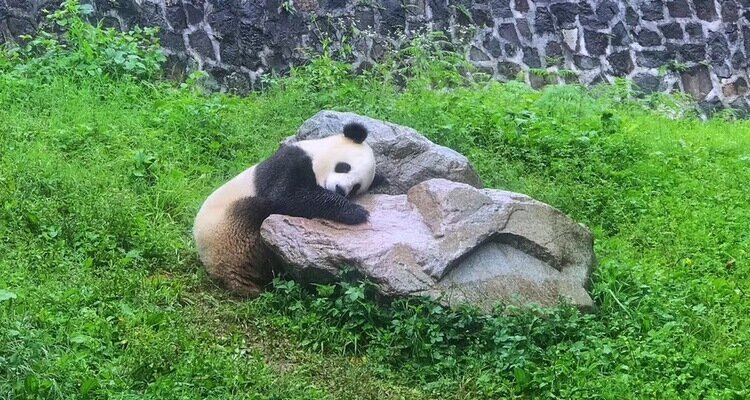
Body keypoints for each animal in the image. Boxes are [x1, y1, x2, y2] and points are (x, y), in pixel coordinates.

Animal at [193, 122, 384, 296]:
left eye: (356, 187)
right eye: (344, 167)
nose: (340, 190)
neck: (316, 153)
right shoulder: (287, 162)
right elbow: (287, 195)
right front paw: (356, 211)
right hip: (228, 226)